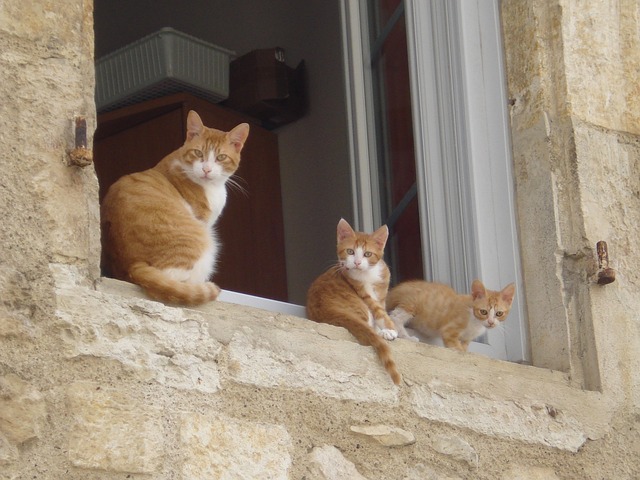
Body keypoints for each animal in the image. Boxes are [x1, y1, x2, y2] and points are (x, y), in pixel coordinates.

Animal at [101, 110, 249, 306]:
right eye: (198, 153)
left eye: (221, 157)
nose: (207, 170)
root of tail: (132, 265)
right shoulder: (203, 220)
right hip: (201, 239)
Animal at [304, 219, 400, 384]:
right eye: (350, 252)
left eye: (367, 254)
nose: (357, 262)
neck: (369, 275)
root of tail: (331, 311)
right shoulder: (362, 290)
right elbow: (379, 312)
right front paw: (389, 330)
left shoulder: (381, 293)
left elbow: (380, 310)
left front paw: (384, 329)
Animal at [384, 278, 516, 352]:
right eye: (483, 312)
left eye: (499, 313)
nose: (491, 322)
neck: (475, 322)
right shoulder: (450, 329)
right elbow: (456, 347)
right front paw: (459, 350)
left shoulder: (467, 339)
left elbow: (464, 347)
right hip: (412, 303)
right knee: (394, 317)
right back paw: (407, 337)